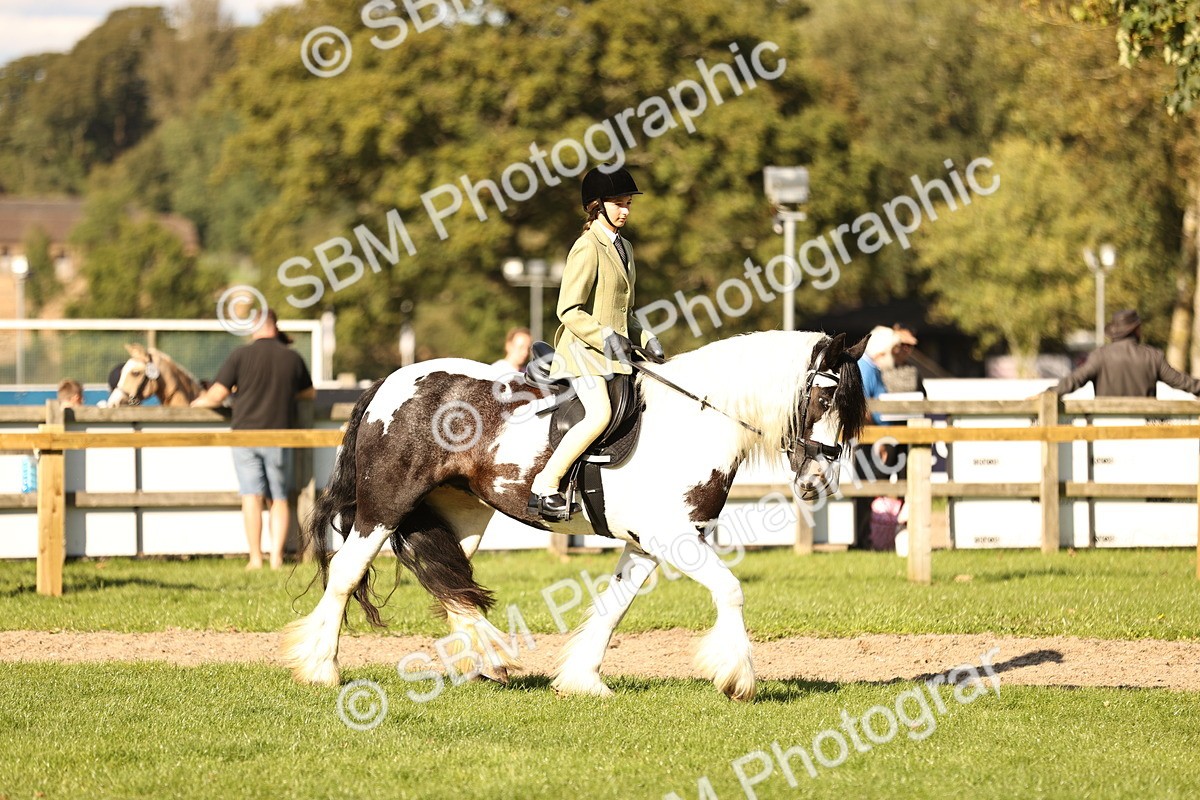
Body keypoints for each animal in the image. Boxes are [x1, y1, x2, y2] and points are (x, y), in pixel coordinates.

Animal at [282, 329, 868, 701]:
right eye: (826, 396)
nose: (818, 484)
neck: (696, 422)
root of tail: (390, 382)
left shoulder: (647, 544)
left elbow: (612, 608)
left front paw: (583, 679)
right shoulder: (674, 538)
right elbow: (730, 590)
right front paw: (737, 678)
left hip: (461, 514)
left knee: (449, 581)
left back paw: (492, 660)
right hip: (384, 505)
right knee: (347, 573)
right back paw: (321, 668)